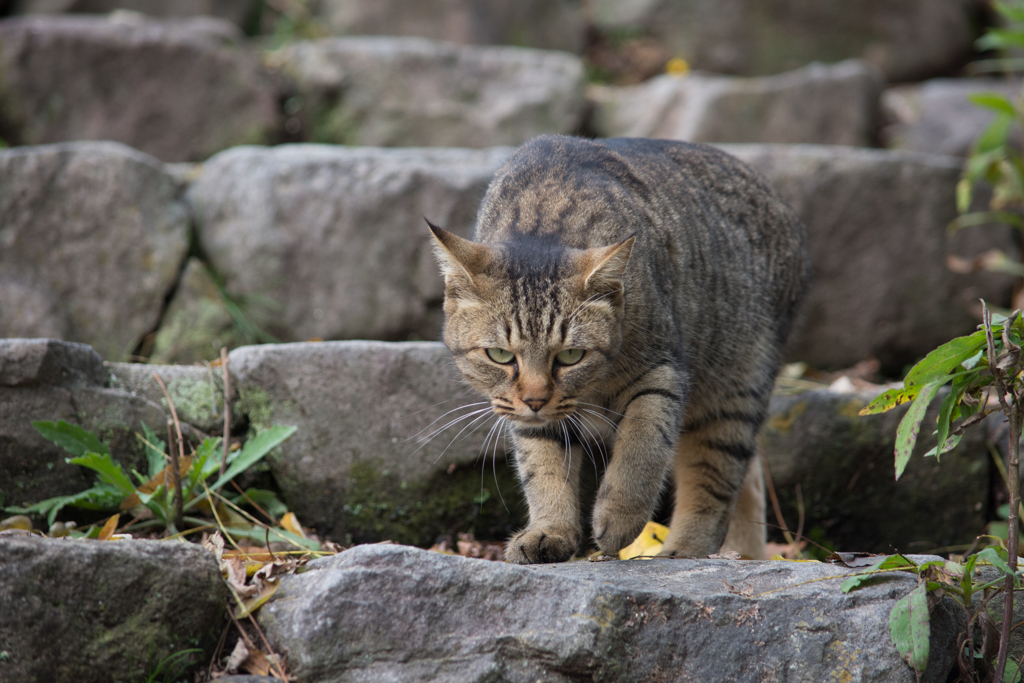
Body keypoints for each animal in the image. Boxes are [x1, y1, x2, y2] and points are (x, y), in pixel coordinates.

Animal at [428, 136, 811, 565]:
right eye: (500, 356)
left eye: (570, 356)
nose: (535, 400)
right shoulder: (530, 417)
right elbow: (543, 468)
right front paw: (550, 531)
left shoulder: (661, 373)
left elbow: (642, 447)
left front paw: (619, 518)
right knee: (749, 479)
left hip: (732, 390)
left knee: (716, 479)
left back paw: (686, 550)